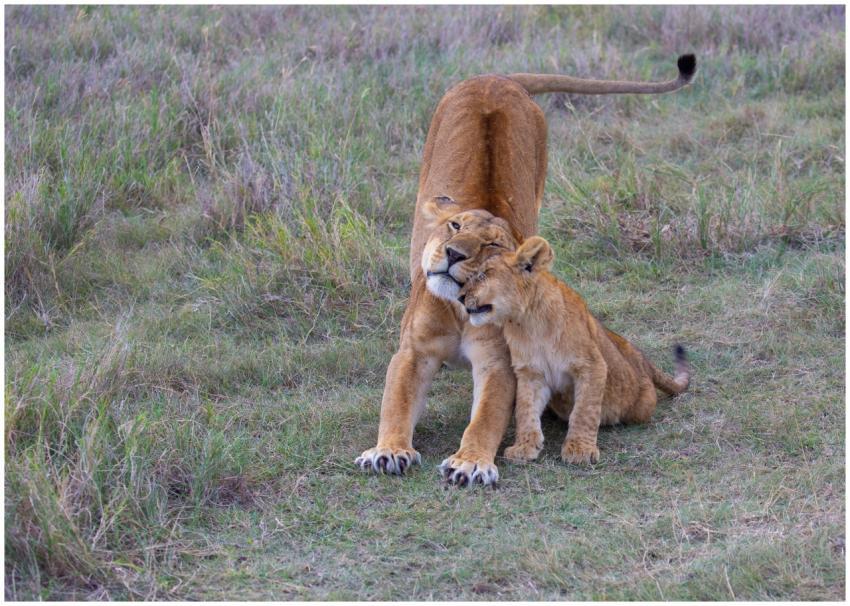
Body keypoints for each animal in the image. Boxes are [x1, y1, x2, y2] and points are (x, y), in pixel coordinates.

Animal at [457, 236, 691, 465]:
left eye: (484, 274)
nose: (459, 297)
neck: (529, 323)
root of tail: (641, 359)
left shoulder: (591, 365)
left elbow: (584, 410)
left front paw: (580, 449)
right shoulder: (530, 373)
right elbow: (526, 410)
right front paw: (524, 447)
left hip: (642, 406)